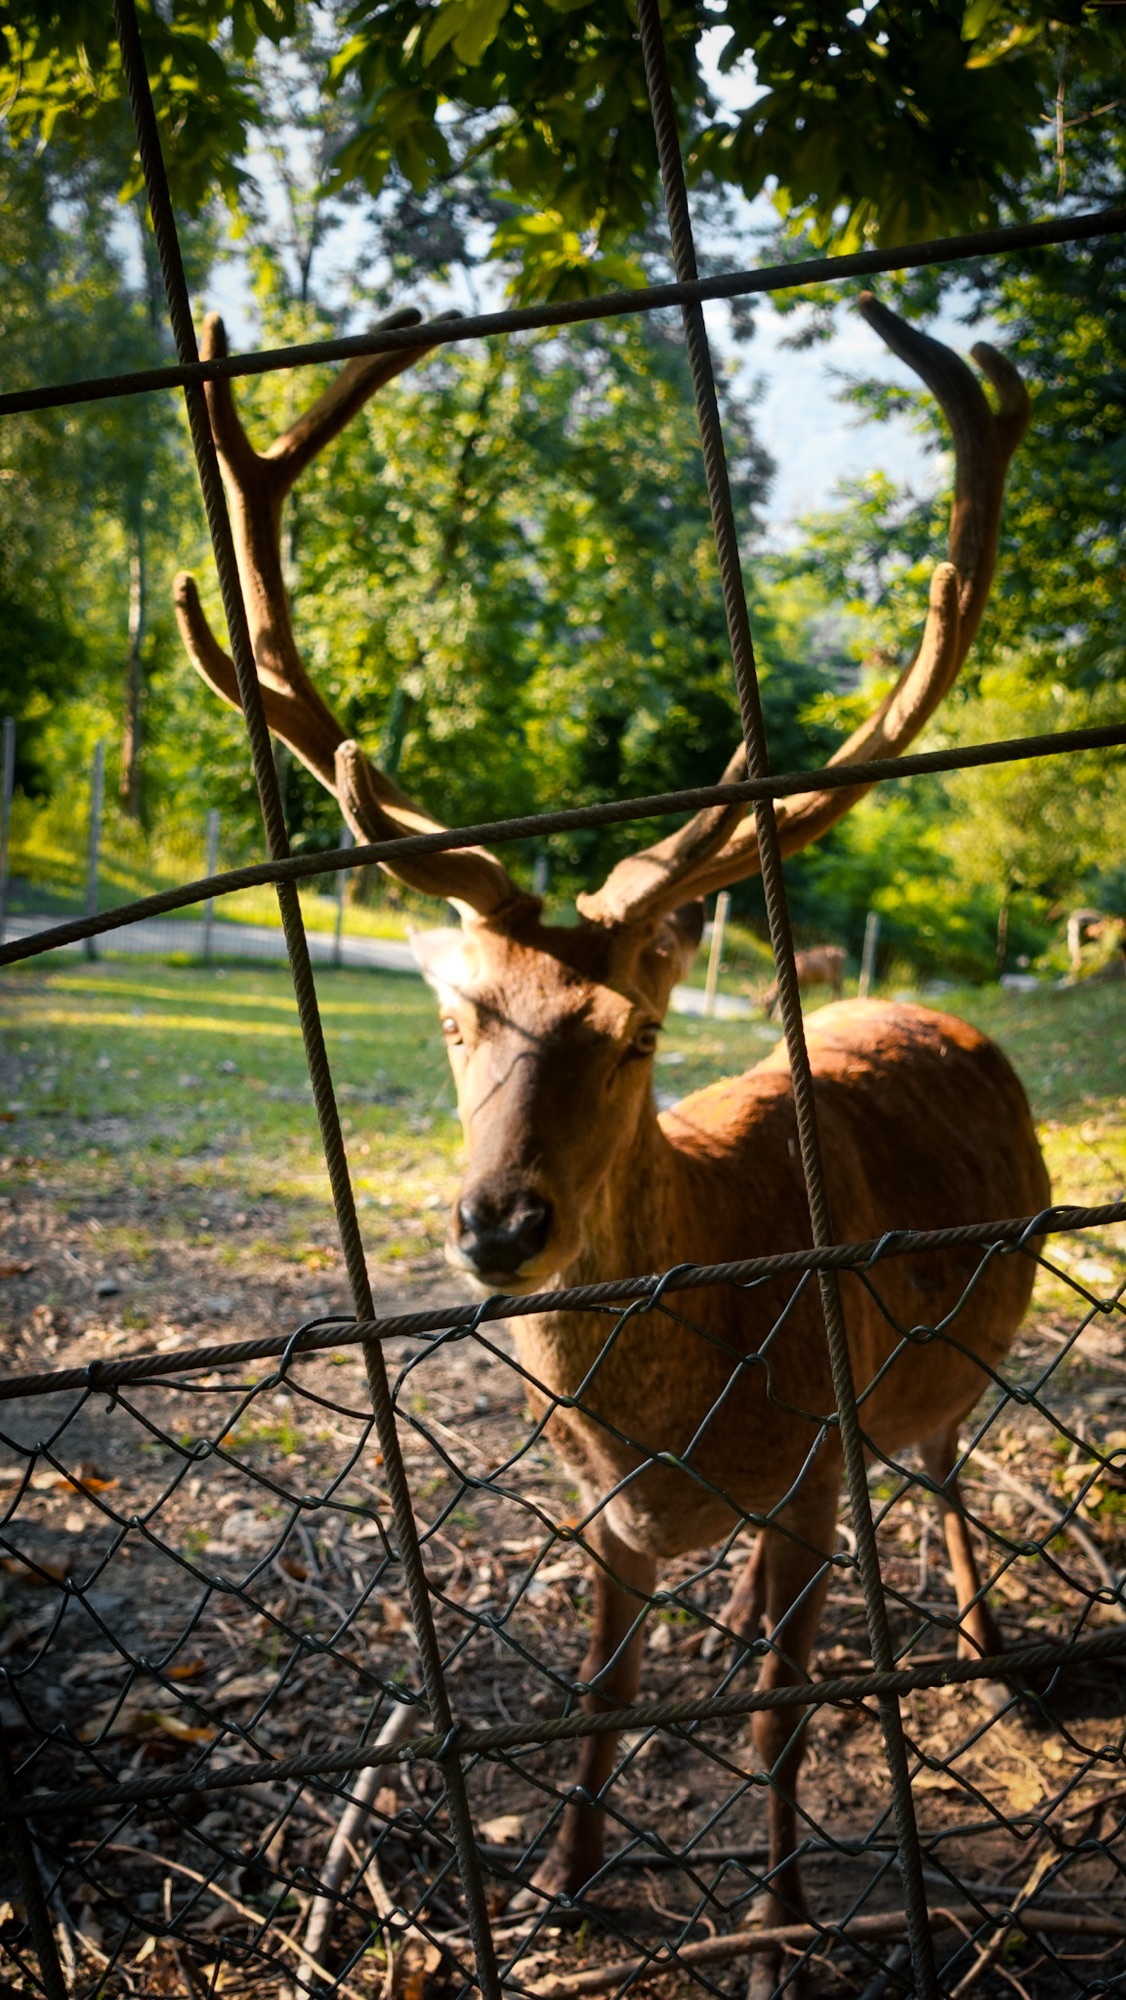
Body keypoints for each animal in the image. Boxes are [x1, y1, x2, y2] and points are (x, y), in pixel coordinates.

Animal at [173, 296, 1049, 1963]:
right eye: (458, 1016)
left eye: (633, 1034)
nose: (498, 1224)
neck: (676, 1428)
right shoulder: (596, 1518)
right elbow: (594, 1698)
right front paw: (555, 1885)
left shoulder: (815, 1465)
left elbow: (778, 1719)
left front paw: (776, 1914)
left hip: (952, 1354)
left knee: (945, 1458)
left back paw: (978, 1638)